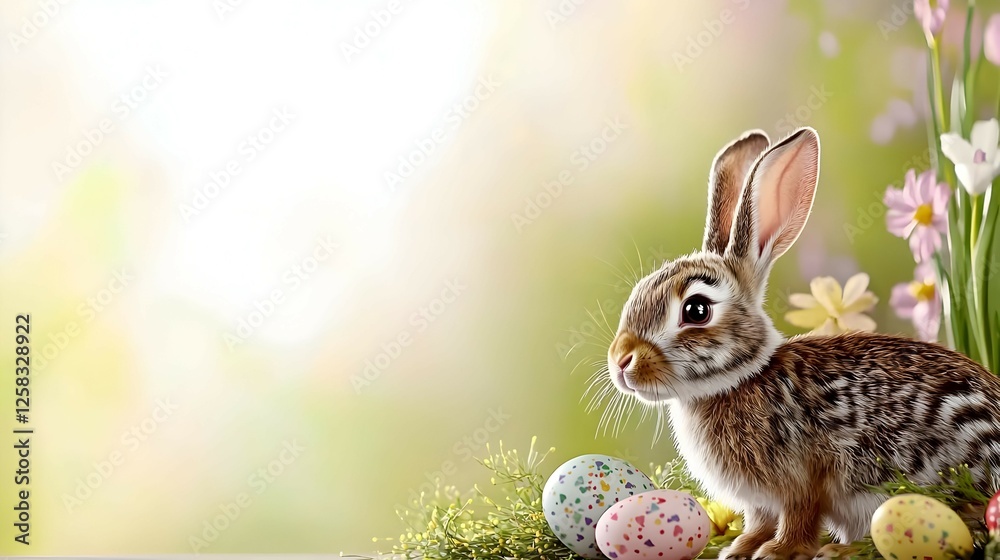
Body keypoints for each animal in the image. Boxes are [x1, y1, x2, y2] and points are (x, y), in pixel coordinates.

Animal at [605, 127, 1000, 560]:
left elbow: (800, 513)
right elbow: (758, 520)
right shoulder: (759, 501)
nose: (621, 362)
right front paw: (741, 548)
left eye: (696, 310)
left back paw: (844, 550)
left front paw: (778, 551)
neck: (738, 382)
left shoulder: (802, 476)